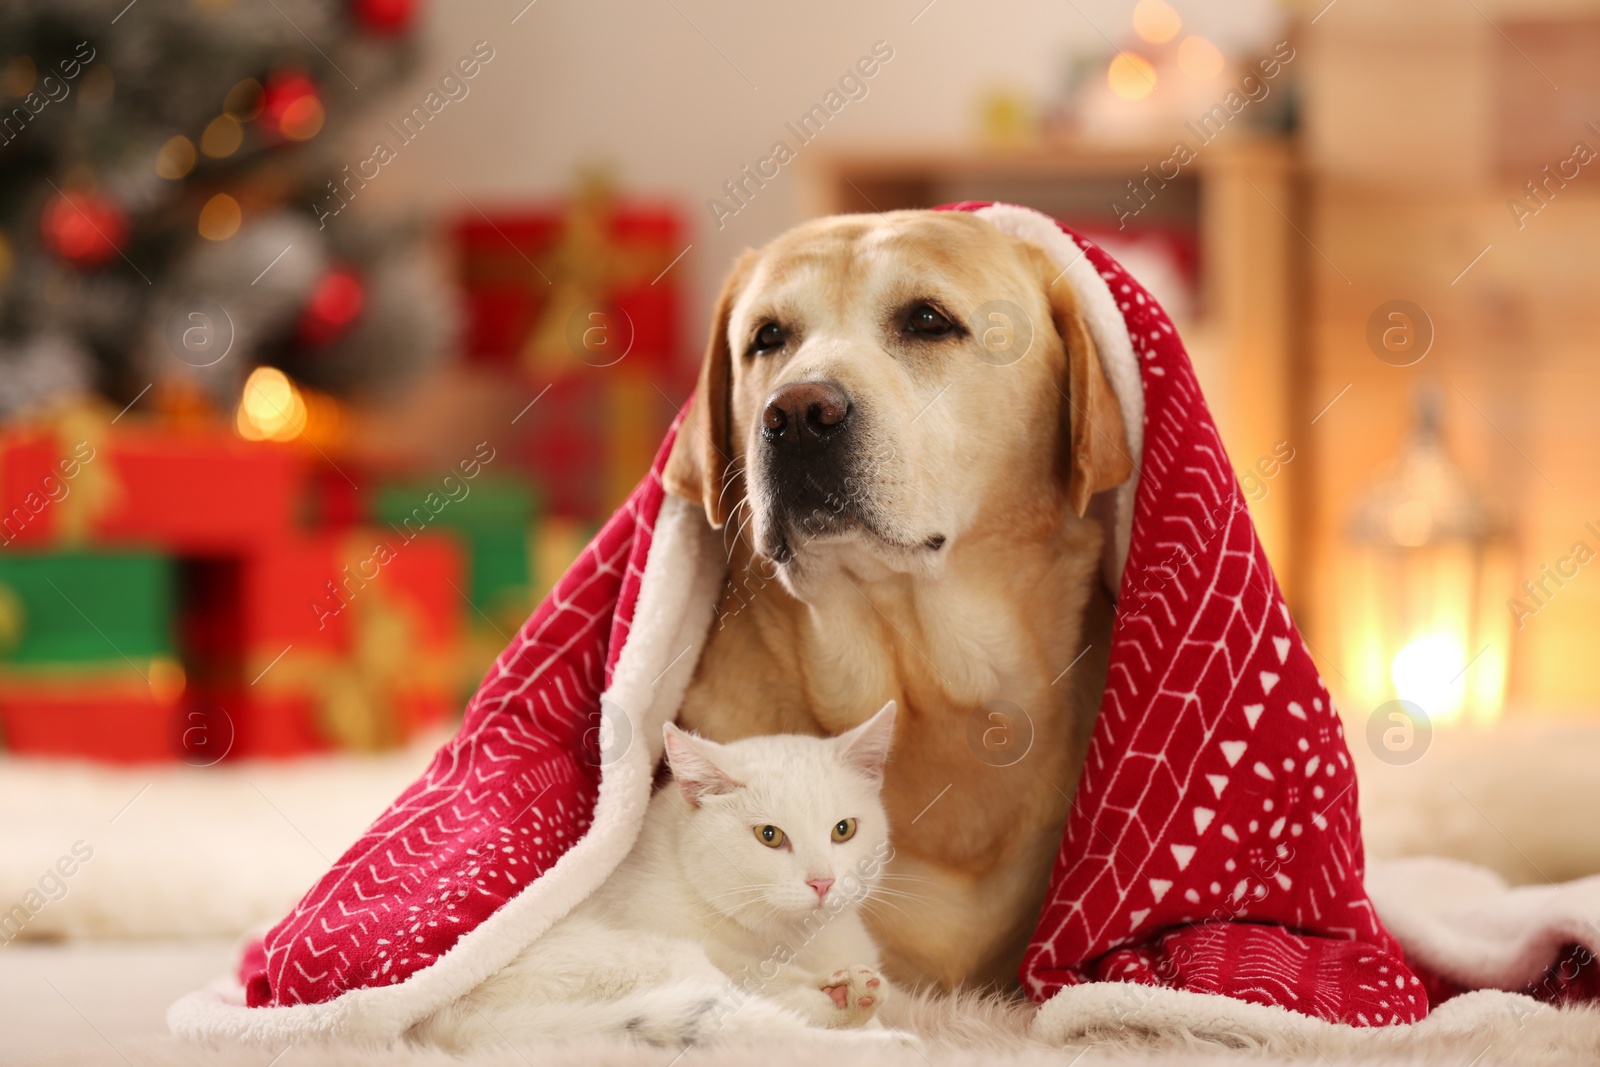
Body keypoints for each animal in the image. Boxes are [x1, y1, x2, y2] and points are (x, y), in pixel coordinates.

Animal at [412, 700, 908, 1049]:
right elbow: (759, 980)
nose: (822, 882)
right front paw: (834, 994)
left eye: (844, 830)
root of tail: (443, 1026)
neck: (786, 937)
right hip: (641, 960)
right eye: (769, 836)